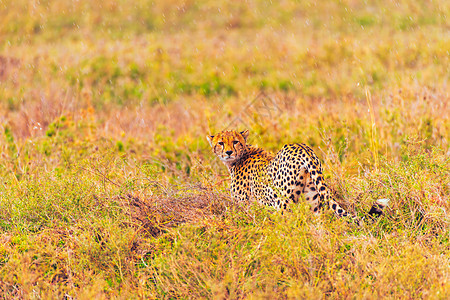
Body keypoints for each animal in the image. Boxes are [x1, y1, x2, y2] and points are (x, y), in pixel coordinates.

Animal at [207, 129, 386, 223]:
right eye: (221, 143)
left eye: (235, 141)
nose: (228, 152)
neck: (242, 154)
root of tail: (302, 148)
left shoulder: (245, 206)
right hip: (312, 201)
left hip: (283, 204)